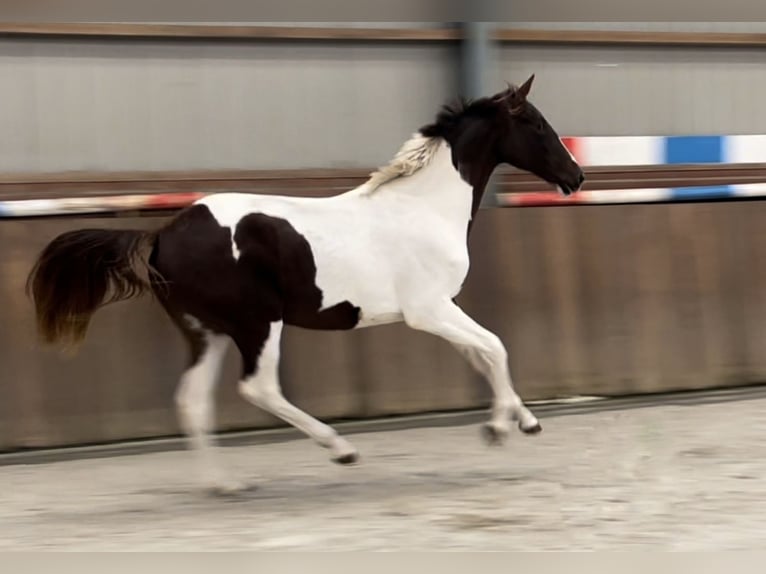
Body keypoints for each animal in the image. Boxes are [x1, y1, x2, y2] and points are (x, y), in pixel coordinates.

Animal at [27, 73, 584, 496]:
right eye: (536, 124)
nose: (575, 177)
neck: (423, 207)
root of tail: (163, 234)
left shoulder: (441, 310)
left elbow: (481, 354)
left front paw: (518, 421)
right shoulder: (428, 310)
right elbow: (494, 346)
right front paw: (503, 427)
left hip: (206, 332)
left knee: (191, 400)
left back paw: (225, 485)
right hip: (258, 323)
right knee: (258, 387)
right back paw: (340, 449)